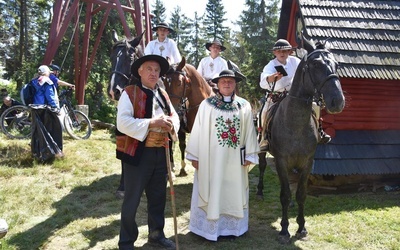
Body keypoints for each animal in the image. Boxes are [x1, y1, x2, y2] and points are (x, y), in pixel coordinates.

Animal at [264, 38, 346, 243]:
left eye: (336, 64)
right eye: (315, 64)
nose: (338, 101)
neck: (295, 123)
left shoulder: (307, 162)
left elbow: (301, 194)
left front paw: (301, 227)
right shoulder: (281, 161)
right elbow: (285, 195)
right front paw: (284, 229)